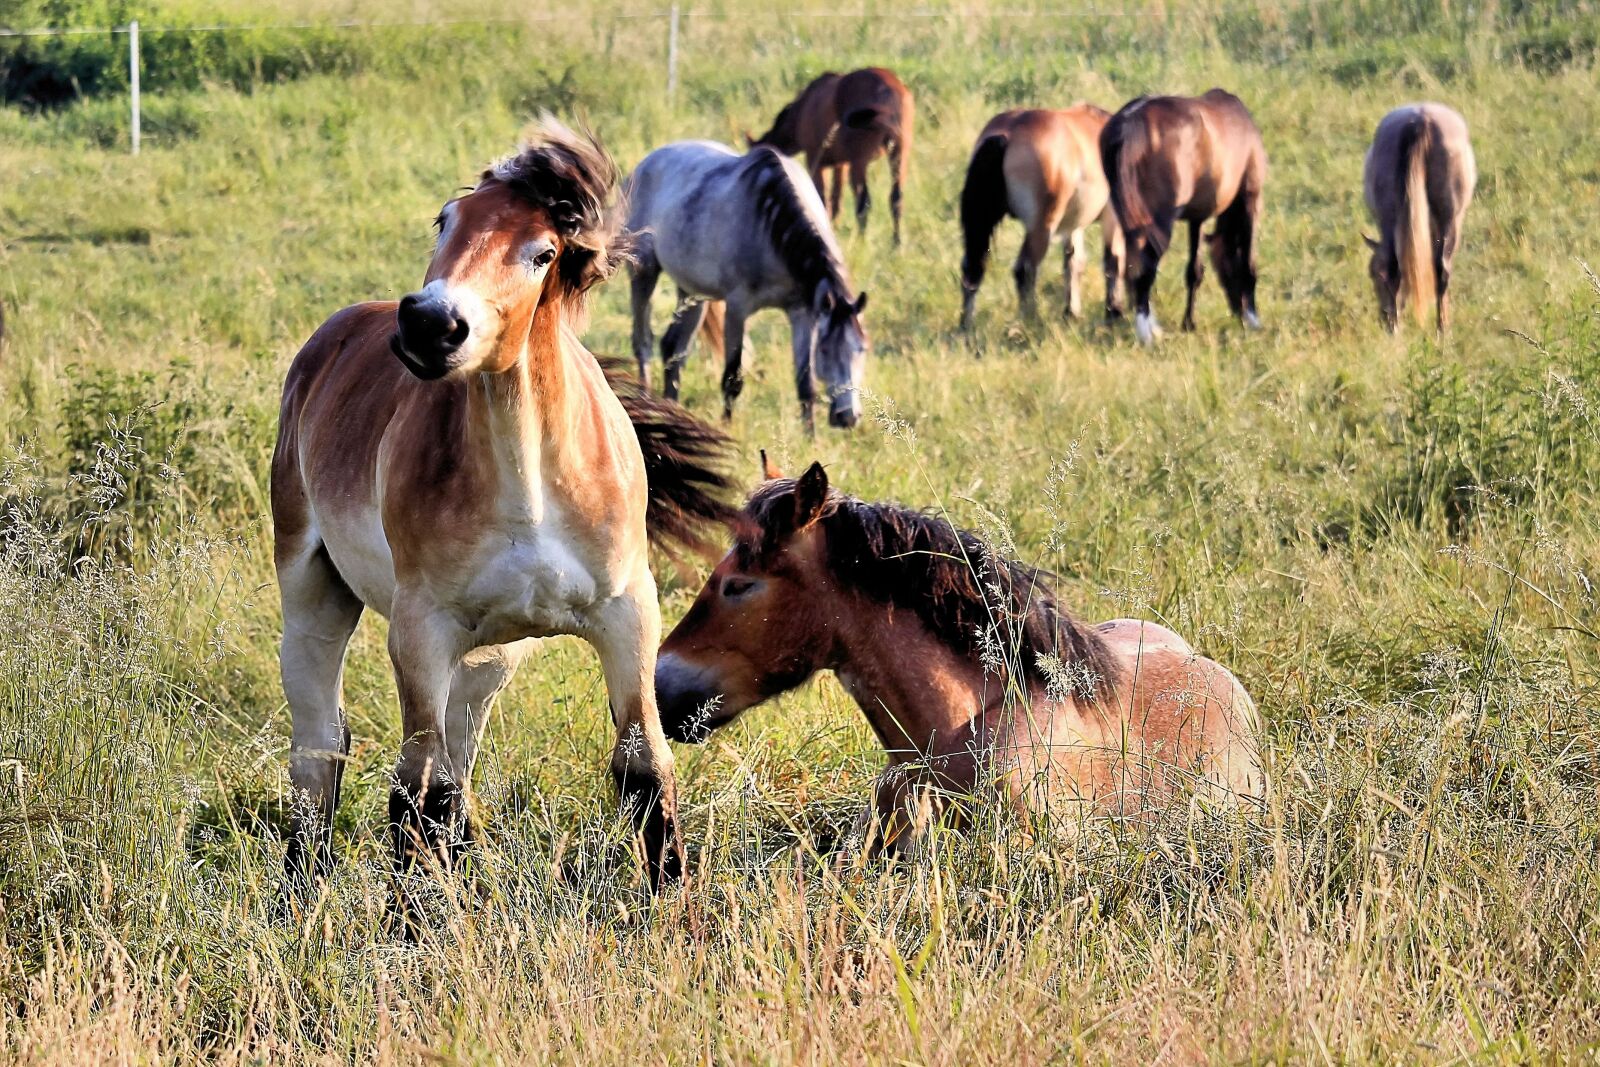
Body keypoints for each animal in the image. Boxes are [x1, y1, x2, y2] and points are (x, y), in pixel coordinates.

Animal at [272, 120, 732, 902]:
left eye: (543, 251)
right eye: (446, 220)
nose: (431, 323)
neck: (530, 492)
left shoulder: (626, 615)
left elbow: (644, 765)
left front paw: (673, 900)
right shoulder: (420, 630)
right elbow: (414, 790)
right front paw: (413, 919)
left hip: (487, 656)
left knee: (454, 763)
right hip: (314, 593)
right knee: (322, 744)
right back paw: (299, 891)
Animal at [625, 140, 870, 433]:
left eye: (862, 349)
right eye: (824, 350)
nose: (848, 417)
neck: (771, 224)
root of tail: (644, 164)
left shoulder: (803, 314)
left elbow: (805, 384)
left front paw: (811, 437)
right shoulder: (737, 309)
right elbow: (733, 377)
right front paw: (727, 427)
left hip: (693, 292)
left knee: (674, 349)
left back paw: (672, 411)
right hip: (644, 272)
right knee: (643, 342)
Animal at [750, 67, 914, 245]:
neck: (802, 109)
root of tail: (889, 90)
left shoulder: (816, 161)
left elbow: (822, 198)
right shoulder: (840, 165)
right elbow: (836, 200)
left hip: (860, 162)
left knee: (863, 202)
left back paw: (861, 241)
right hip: (899, 154)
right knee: (896, 198)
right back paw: (896, 243)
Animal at [959, 104, 1126, 329]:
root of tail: (1007, 134)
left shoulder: (1072, 226)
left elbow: (1073, 263)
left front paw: (1072, 313)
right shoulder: (1112, 219)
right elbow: (1113, 262)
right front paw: (1113, 313)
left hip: (981, 224)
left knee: (972, 270)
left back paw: (966, 327)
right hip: (1041, 227)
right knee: (1025, 270)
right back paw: (1031, 320)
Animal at [1100, 89, 1267, 345]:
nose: (1237, 309)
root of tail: (1129, 123)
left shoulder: (1197, 217)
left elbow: (1194, 271)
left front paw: (1189, 322)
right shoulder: (1250, 199)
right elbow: (1249, 263)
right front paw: (1253, 318)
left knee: (1119, 263)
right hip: (1158, 222)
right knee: (1144, 269)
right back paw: (1147, 332)